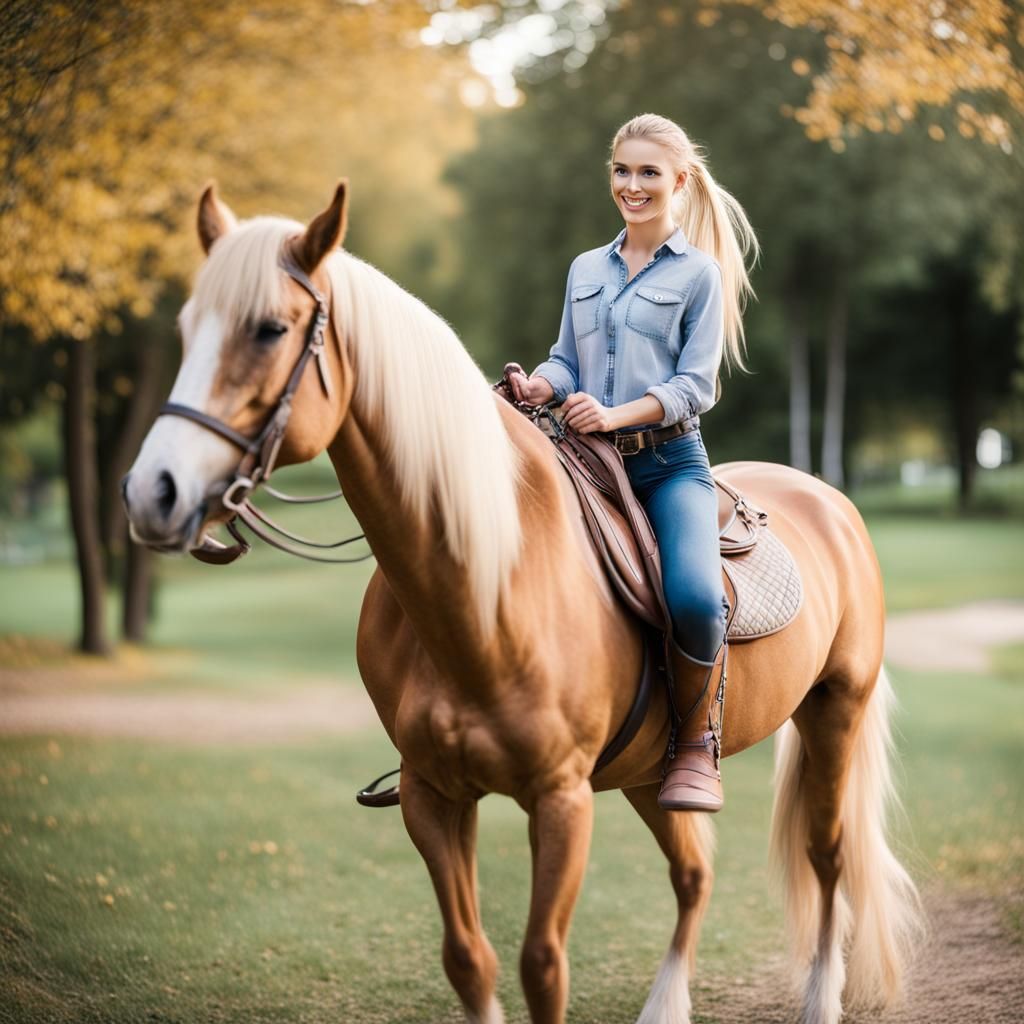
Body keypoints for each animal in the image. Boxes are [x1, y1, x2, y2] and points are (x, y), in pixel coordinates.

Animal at [123, 181, 922, 1024]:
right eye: (186, 330)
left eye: (271, 328)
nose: (152, 491)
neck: (486, 592)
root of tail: (828, 500)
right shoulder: (433, 798)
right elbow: (468, 959)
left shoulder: (561, 799)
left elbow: (542, 963)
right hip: (651, 774)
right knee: (694, 874)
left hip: (834, 713)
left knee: (827, 858)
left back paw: (822, 997)